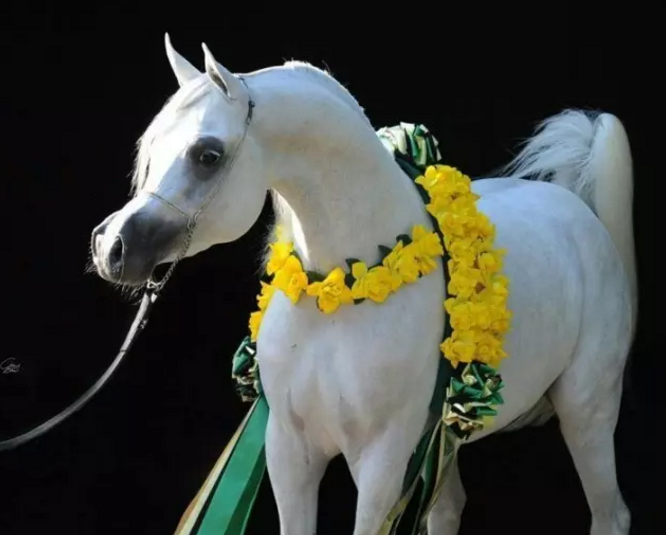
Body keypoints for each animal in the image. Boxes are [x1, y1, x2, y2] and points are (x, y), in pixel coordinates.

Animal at [88, 34, 632, 535]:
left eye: (207, 154)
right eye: (151, 149)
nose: (113, 247)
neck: (340, 297)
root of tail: (578, 209)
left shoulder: (382, 462)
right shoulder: (289, 451)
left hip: (586, 411)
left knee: (610, 514)